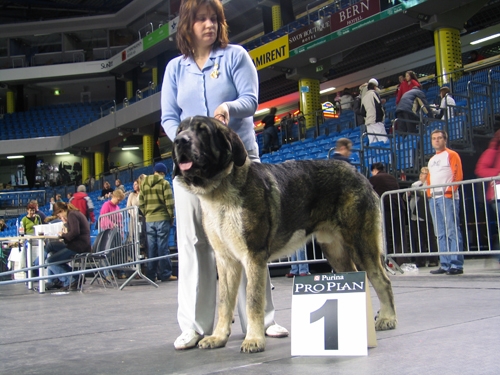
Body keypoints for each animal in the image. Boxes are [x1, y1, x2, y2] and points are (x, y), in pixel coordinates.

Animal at [174, 116, 396, 354]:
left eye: (203, 131)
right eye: (179, 131)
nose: (179, 141)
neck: (219, 190)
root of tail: (357, 173)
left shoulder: (253, 257)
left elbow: (253, 301)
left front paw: (254, 339)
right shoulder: (226, 261)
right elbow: (224, 303)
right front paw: (218, 337)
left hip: (361, 243)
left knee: (381, 279)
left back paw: (387, 318)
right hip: (335, 251)